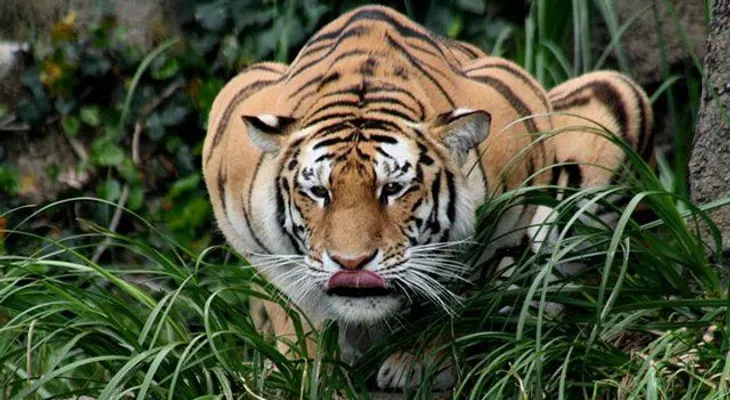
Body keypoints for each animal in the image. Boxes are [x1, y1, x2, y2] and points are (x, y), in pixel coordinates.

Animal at [202, 5, 653, 390]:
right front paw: (304, 369)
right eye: (319, 192)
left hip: (613, 100)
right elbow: (292, 305)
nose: (351, 265)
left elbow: (459, 290)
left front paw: (420, 364)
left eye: (393, 189)